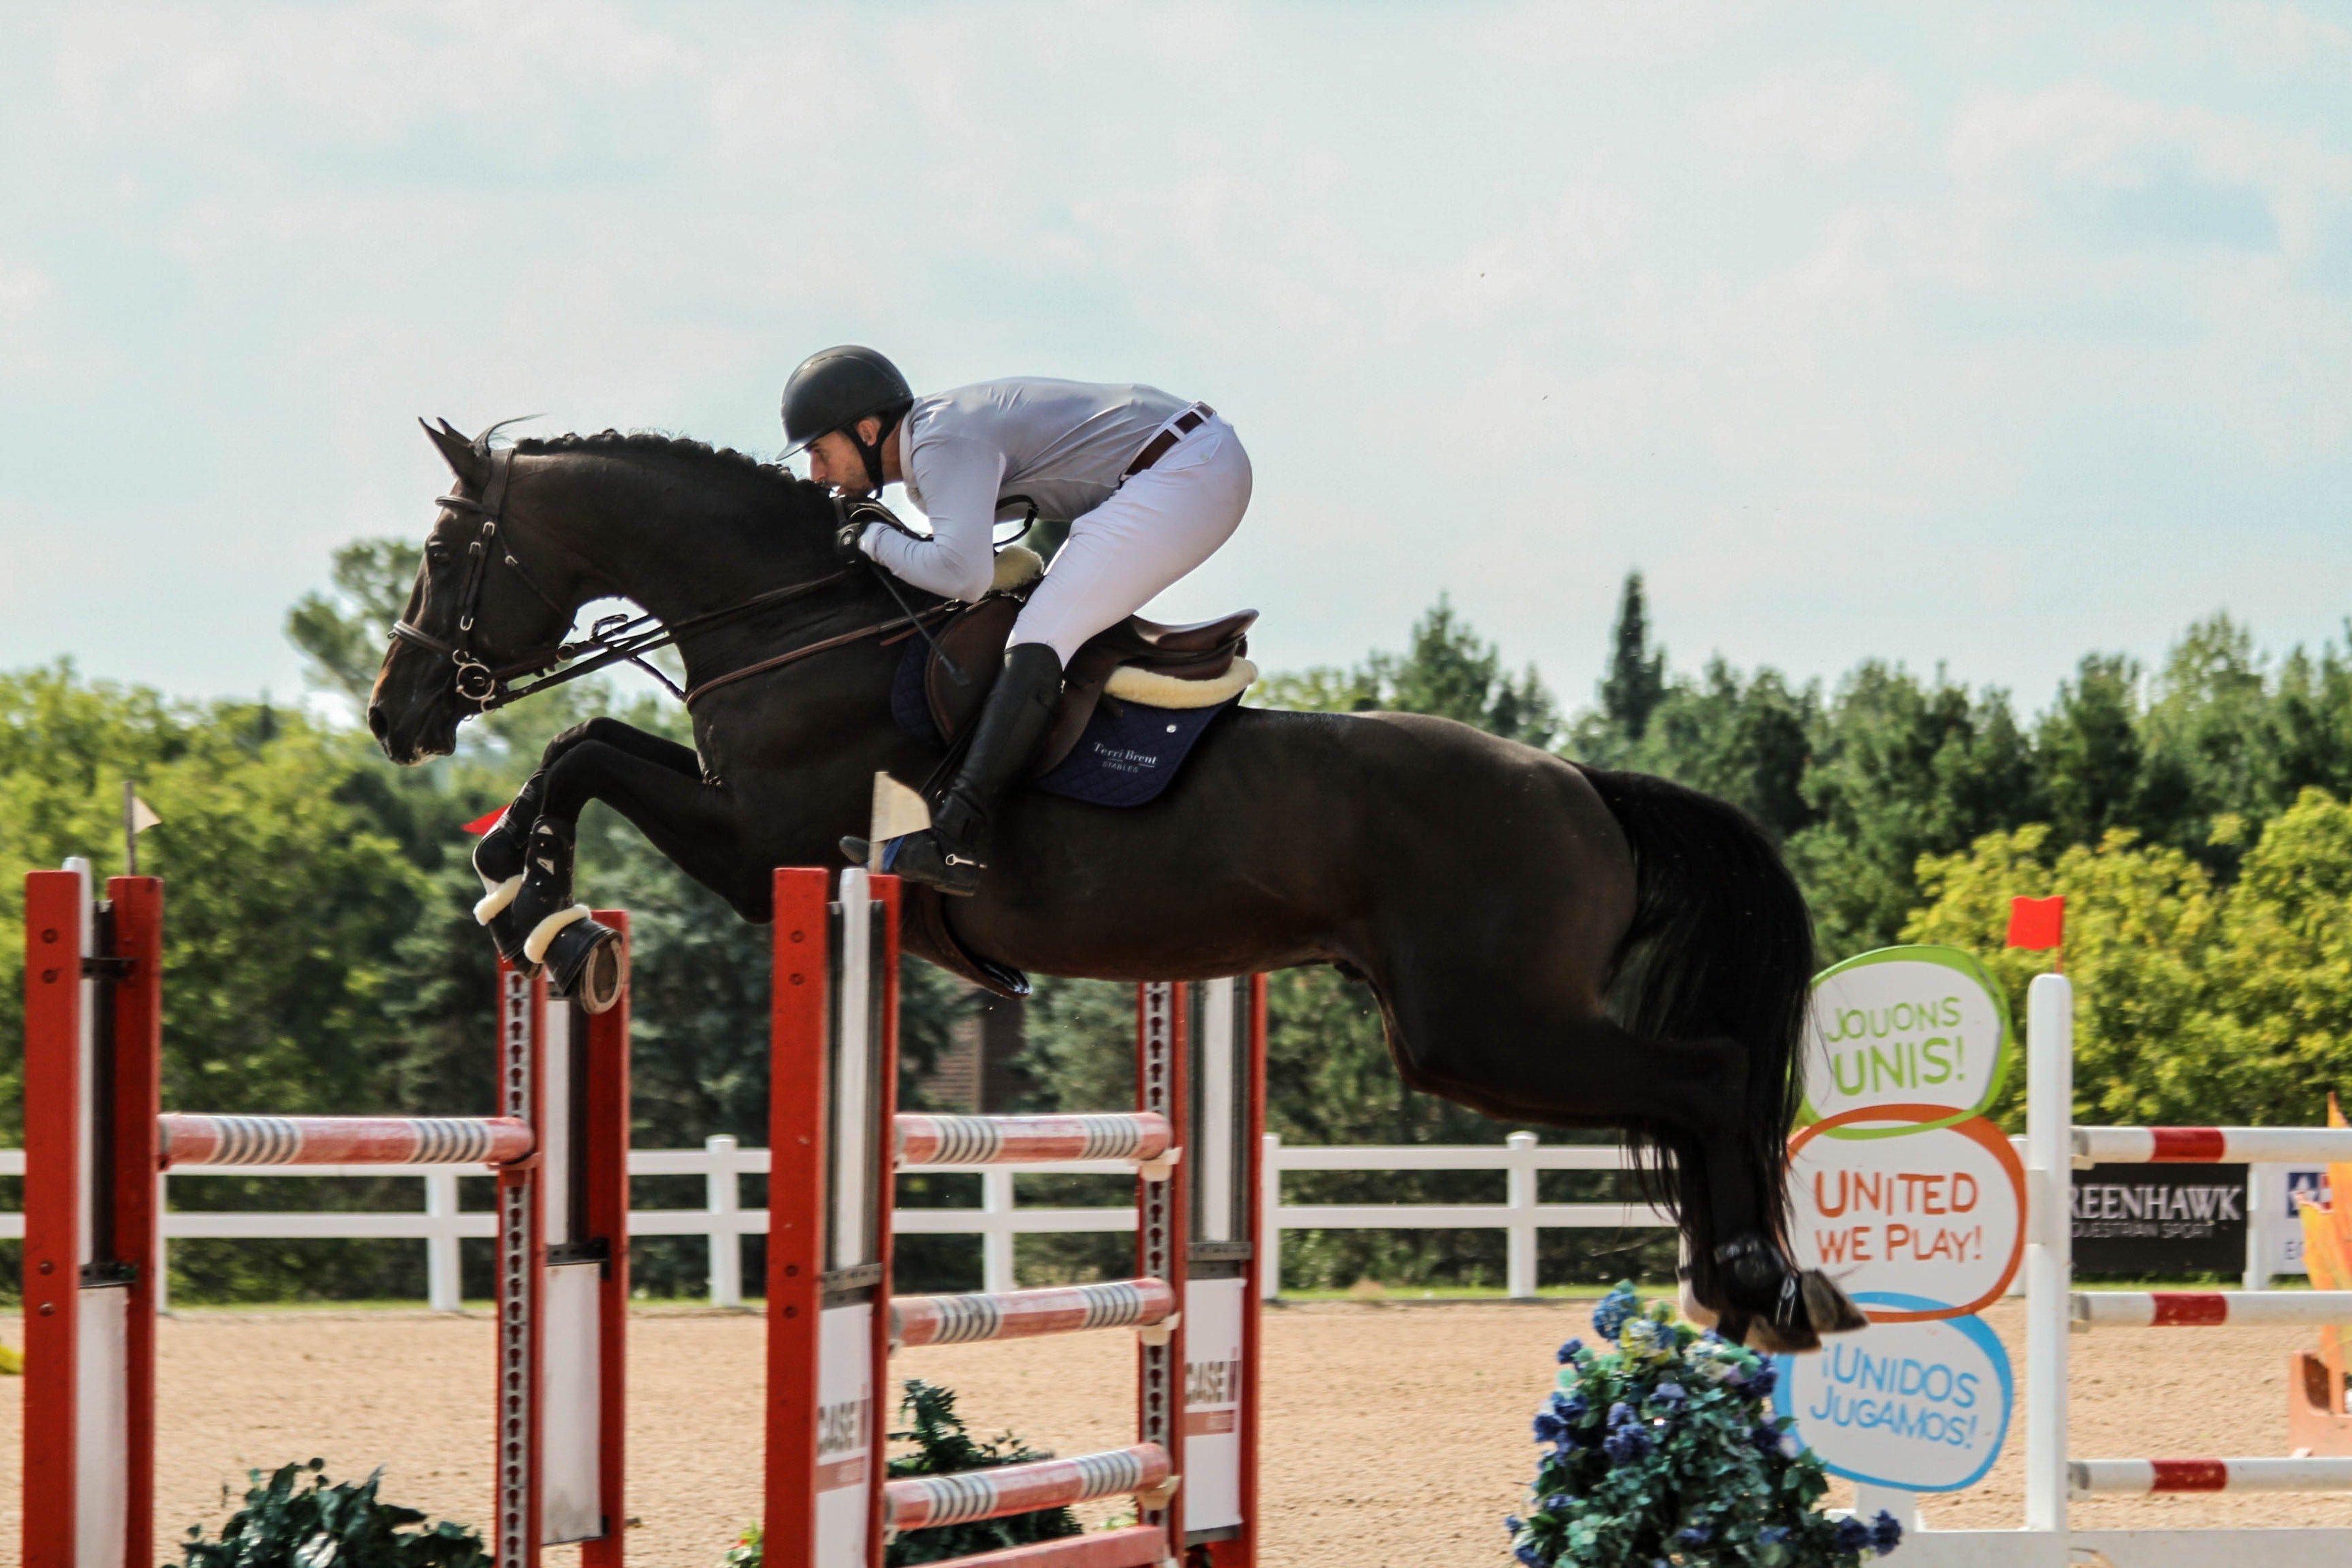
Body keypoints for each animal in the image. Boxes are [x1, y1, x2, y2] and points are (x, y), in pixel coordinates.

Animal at [371, 423, 1853, 1354]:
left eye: (444, 559)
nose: (394, 714)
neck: (799, 619)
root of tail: (1583, 785)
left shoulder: (757, 844)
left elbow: (585, 750)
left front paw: (539, 907)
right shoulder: (749, 829)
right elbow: (590, 744)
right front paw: (526, 891)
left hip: (1480, 1028)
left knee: (1710, 1075)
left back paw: (1755, 1287)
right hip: (1478, 1029)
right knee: (1703, 1085)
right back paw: (1758, 1295)